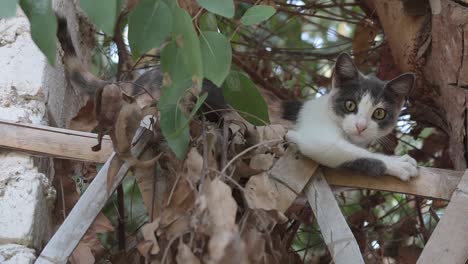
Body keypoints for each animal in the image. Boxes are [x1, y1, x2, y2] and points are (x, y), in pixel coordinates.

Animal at [284, 53, 418, 182]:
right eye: (350, 105)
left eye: (379, 113)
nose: (361, 126)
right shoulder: (315, 137)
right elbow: (354, 151)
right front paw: (398, 163)